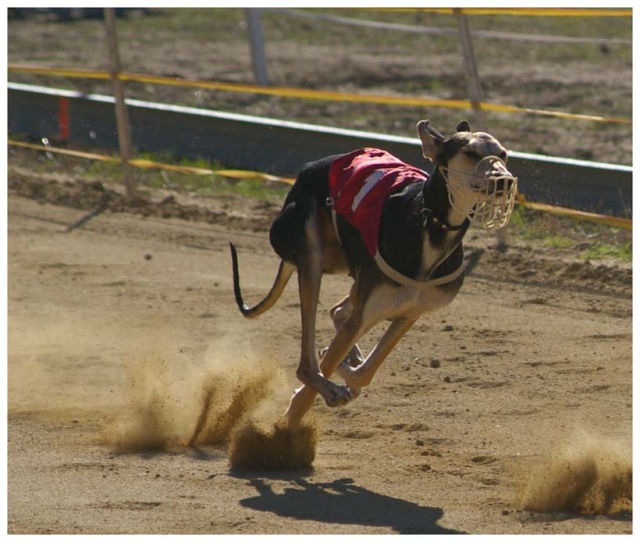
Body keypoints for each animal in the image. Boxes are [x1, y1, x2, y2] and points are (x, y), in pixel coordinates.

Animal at [228, 120, 516, 430]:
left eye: (503, 154)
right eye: (469, 153)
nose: (505, 180)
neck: (428, 223)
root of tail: (306, 172)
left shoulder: (410, 312)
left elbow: (364, 372)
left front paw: (347, 368)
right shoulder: (372, 306)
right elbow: (324, 370)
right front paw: (295, 416)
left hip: (352, 273)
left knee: (340, 311)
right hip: (311, 254)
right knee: (309, 360)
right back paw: (327, 380)